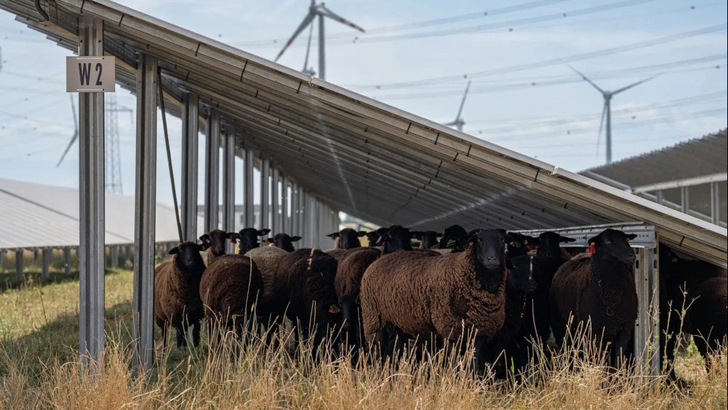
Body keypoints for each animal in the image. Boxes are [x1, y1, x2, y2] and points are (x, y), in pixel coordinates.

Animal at [360, 229, 510, 366]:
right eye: (479, 240)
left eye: (503, 240)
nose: (492, 259)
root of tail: (380, 260)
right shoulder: (450, 327)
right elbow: (453, 358)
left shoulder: (481, 330)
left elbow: (473, 361)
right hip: (373, 318)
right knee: (374, 347)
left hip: (400, 321)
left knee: (397, 347)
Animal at [552, 227, 636, 368]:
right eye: (608, 241)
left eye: (627, 239)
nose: (632, 255)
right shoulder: (594, 329)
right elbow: (596, 359)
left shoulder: (624, 329)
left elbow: (618, 361)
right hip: (561, 324)